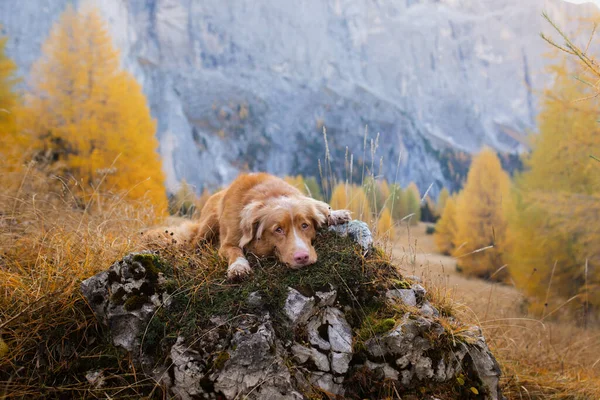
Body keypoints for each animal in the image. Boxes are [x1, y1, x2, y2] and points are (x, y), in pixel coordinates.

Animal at [150, 173, 354, 282]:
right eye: (278, 229)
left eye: (305, 225)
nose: (302, 257)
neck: (271, 195)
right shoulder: (227, 243)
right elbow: (234, 251)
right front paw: (238, 267)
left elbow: (319, 205)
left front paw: (334, 214)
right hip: (207, 225)